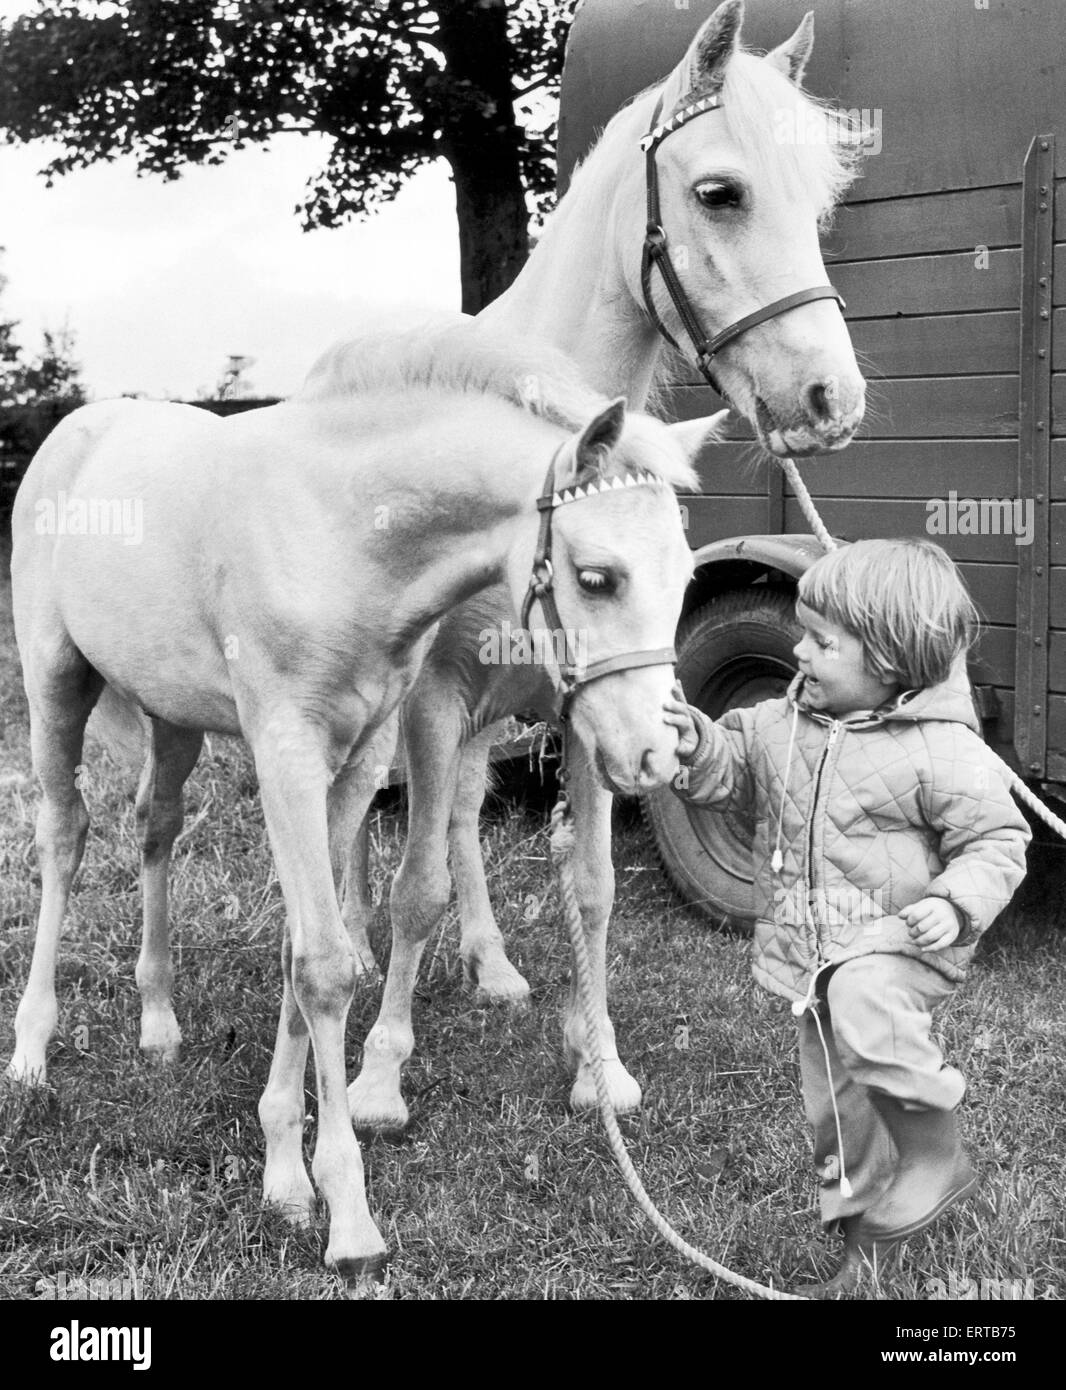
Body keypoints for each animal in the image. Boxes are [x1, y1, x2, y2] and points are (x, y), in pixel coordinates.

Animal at [4, 319, 722, 1273]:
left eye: (684, 579)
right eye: (597, 576)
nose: (652, 755)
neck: (340, 533)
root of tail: (73, 432)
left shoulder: (358, 754)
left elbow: (309, 950)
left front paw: (284, 1172)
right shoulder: (288, 754)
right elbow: (324, 965)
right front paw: (347, 1215)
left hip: (171, 715)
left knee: (154, 827)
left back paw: (158, 1021)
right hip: (56, 683)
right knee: (64, 837)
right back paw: (31, 1052)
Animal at [346, 0, 872, 1123]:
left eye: (818, 207)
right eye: (720, 192)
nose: (830, 400)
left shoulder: (588, 705)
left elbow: (589, 884)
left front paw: (599, 1064)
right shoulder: (432, 700)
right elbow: (413, 884)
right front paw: (376, 1076)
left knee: (464, 812)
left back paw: (493, 965)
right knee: (365, 812)